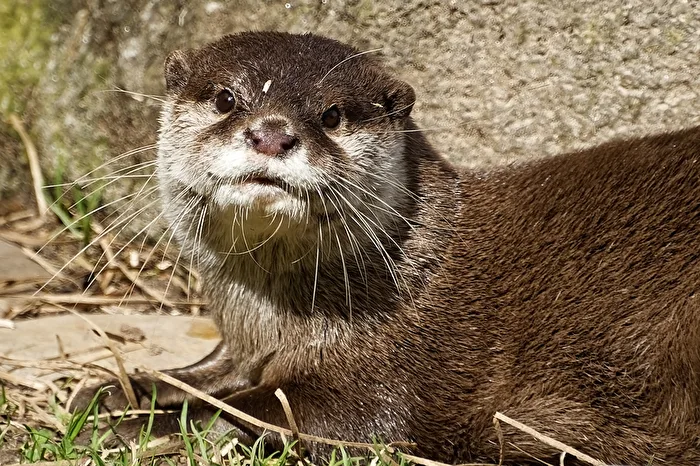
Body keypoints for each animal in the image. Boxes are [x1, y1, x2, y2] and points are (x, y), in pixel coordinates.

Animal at [76, 32, 700, 465]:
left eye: (331, 114)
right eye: (227, 99)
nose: (272, 132)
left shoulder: (395, 377)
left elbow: (267, 413)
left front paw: (133, 424)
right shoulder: (243, 345)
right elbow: (208, 374)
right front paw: (119, 389)